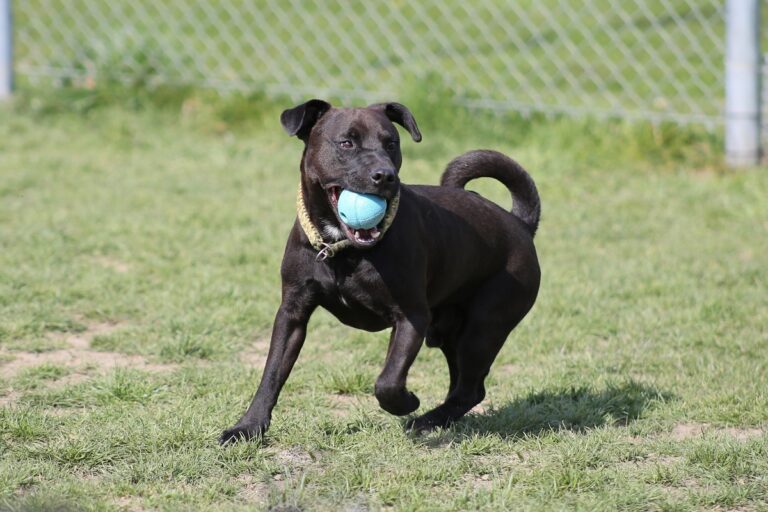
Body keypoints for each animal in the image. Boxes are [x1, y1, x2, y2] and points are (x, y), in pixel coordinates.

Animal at [220, 100, 540, 444]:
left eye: (392, 144)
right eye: (347, 142)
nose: (385, 176)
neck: (342, 249)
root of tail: (520, 224)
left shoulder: (411, 317)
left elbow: (388, 380)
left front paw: (407, 402)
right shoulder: (292, 313)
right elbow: (272, 372)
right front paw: (247, 427)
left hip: (483, 328)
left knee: (469, 389)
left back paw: (426, 420)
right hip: (449, 332)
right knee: (465, 387)